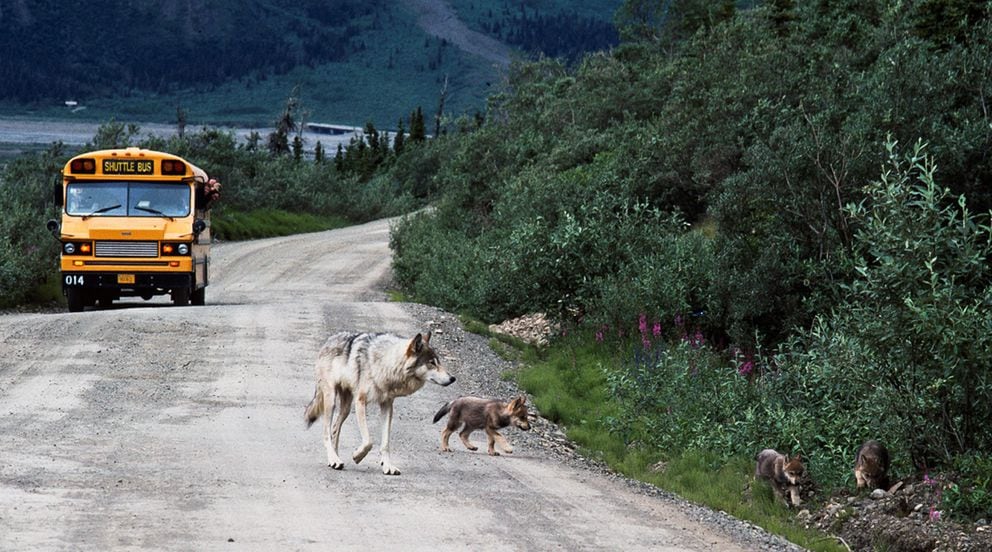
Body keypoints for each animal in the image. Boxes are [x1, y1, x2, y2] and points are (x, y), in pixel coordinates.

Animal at [304, 332, 456, 474]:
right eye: (431, 363)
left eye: (439, 361)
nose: (453, 378)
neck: (386, 362)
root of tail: (329, 340)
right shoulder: (360, 402)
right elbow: (368, 442)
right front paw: (357, 456)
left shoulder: (387, 405)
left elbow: (385, 443)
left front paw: (387, 466)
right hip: (331, 401)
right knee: (326, 433)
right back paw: (334, 459)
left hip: (346, 408)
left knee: (335, 429)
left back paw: (335, 459)